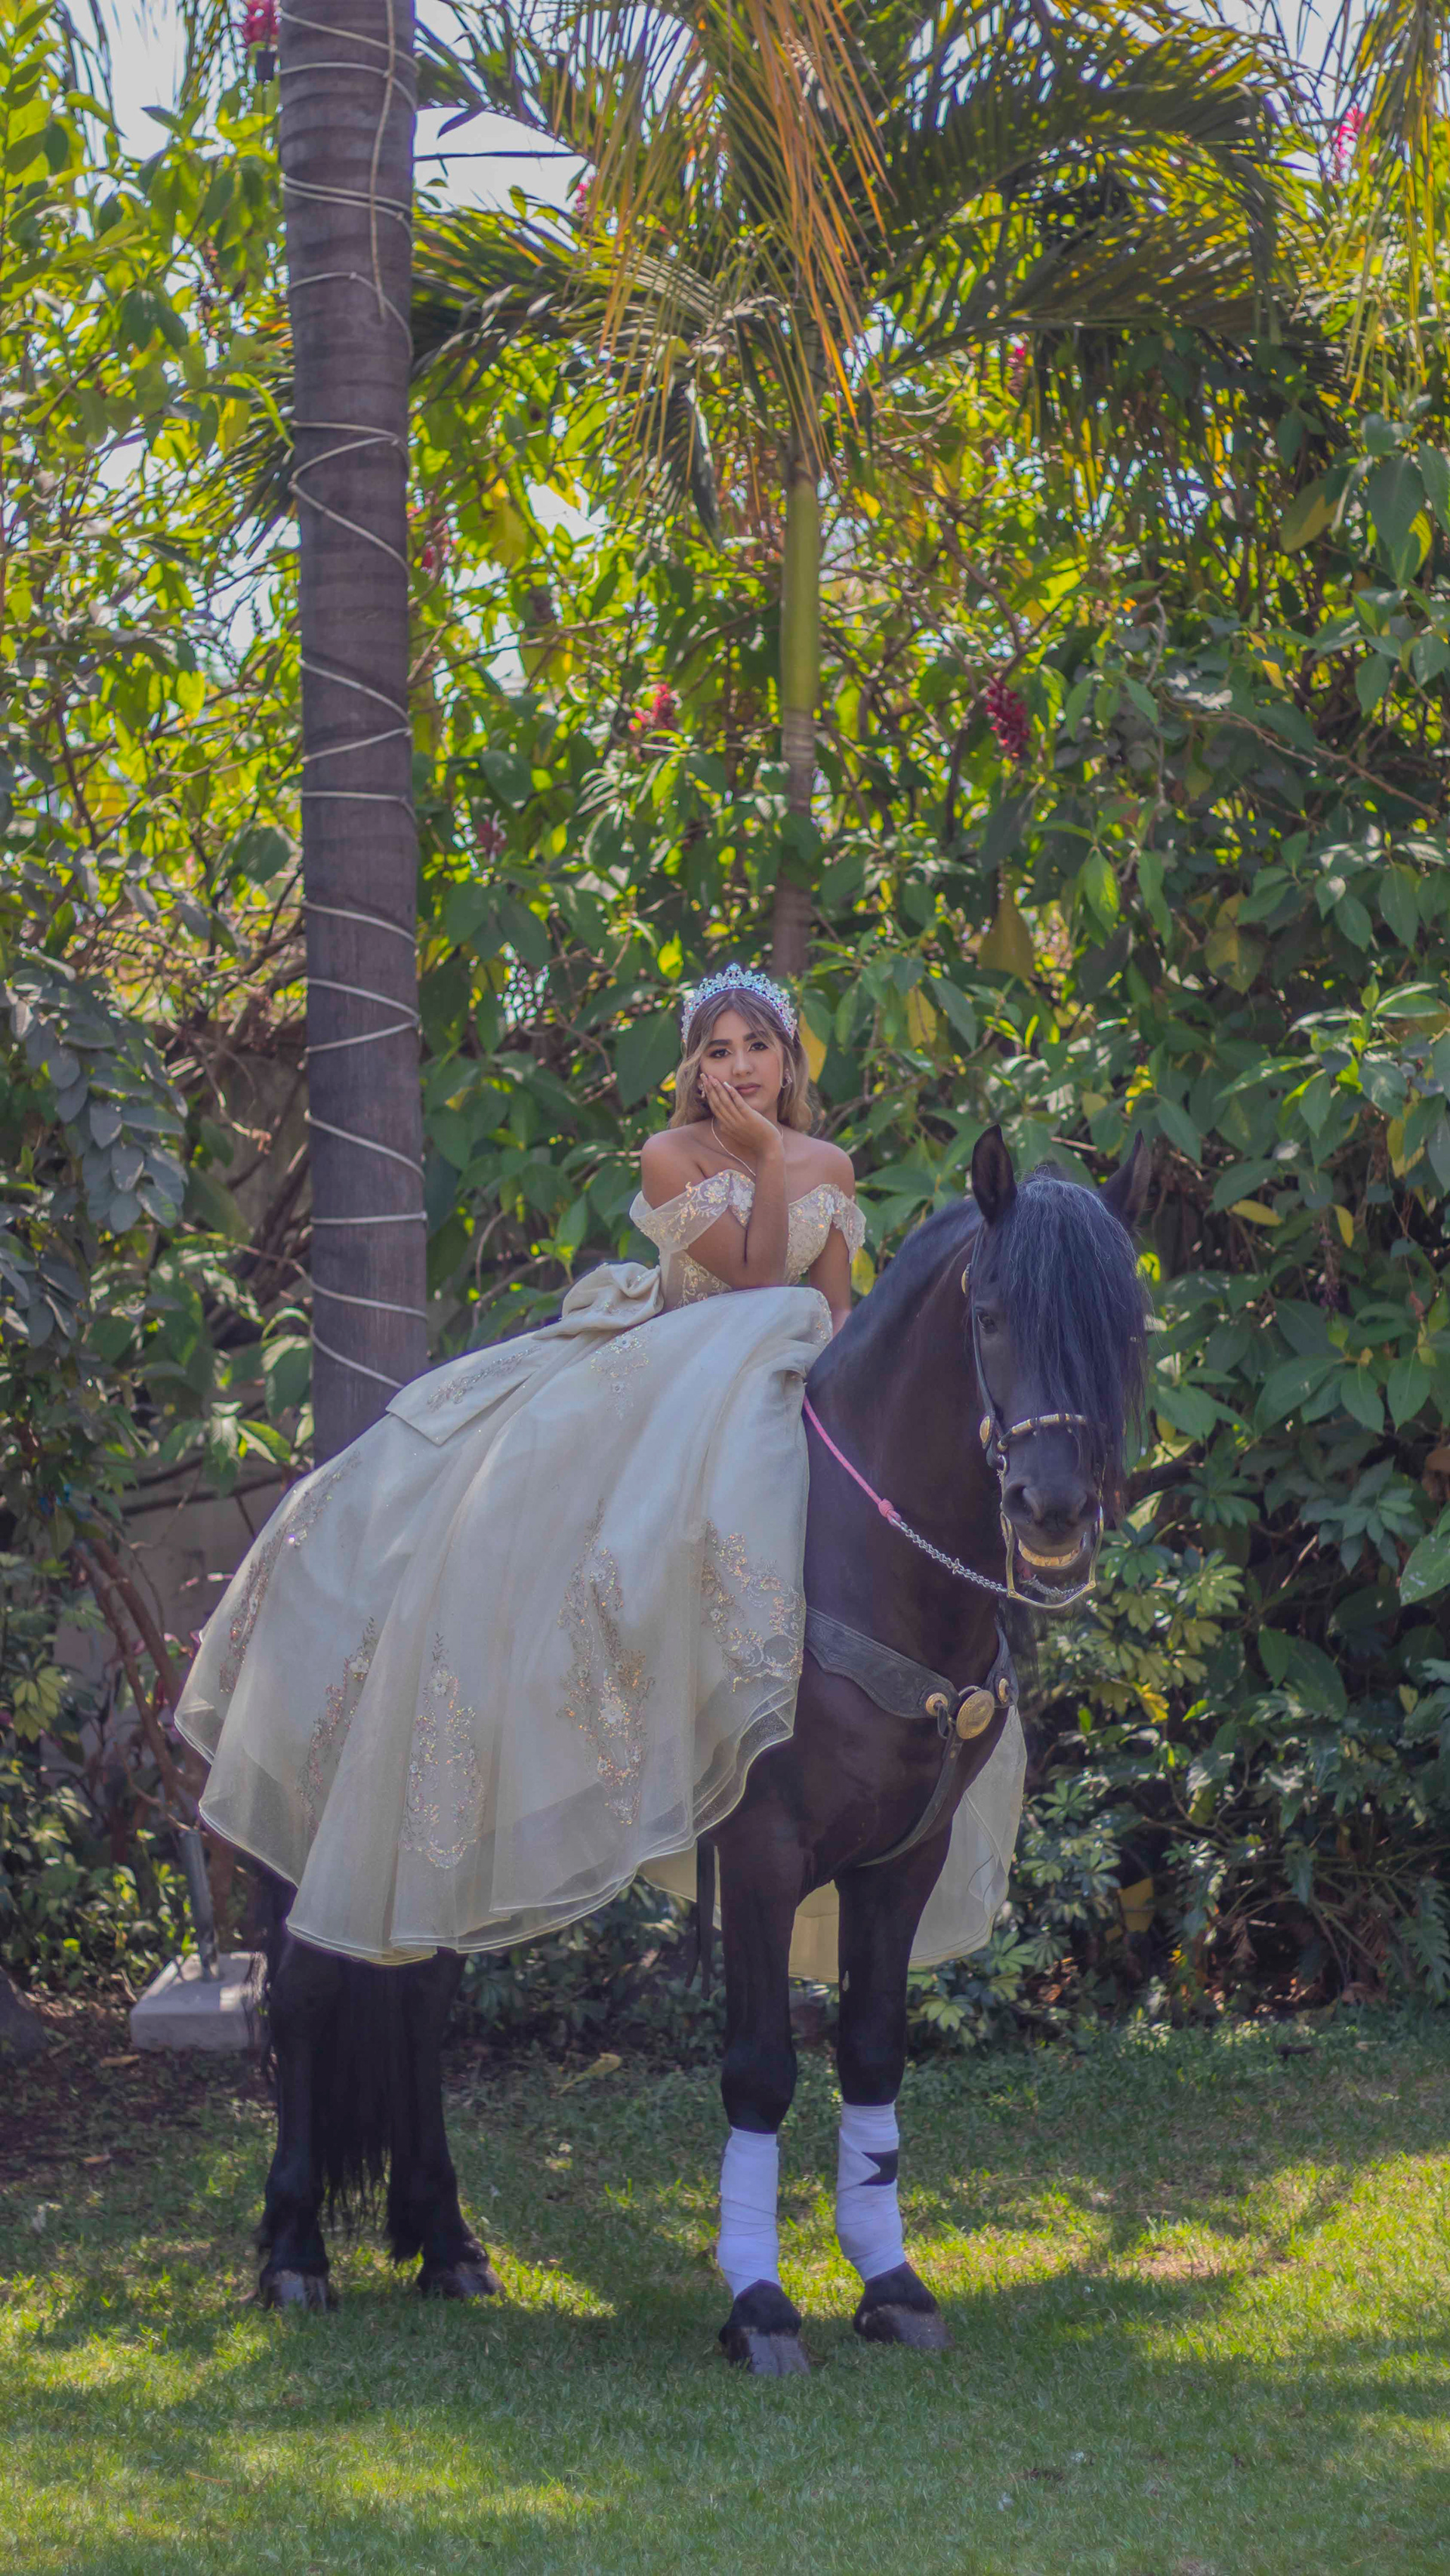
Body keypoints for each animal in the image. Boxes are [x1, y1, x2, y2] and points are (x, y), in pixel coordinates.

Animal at [250, 1124, 1151, 2373]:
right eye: (993, 1314)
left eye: (1126, 1327)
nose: (1055, 1510)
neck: (856, 1556)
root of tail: (314, 1495)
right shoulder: (765, 1851)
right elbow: (760, 2072)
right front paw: (759, 2306)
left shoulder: (903, 1862)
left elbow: (873, 2052)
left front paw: (891, 2283)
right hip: (326, 1820)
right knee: (299, 1997)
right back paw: (294, 2251)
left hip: (443, 1840)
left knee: (420, 1999)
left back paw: (445, 2242)